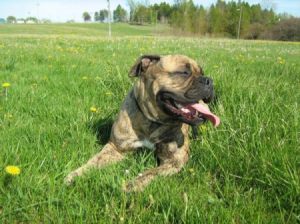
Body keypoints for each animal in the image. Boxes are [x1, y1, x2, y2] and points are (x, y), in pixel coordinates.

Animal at [65, 55, 220, 192]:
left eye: (202, 73)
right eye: (184, 72)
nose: (209, 80)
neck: (152, 120)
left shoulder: (174, 159)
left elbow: (150, 172)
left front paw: (131, 185)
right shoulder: (116, 148)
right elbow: (93, 162)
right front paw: (76, 174)